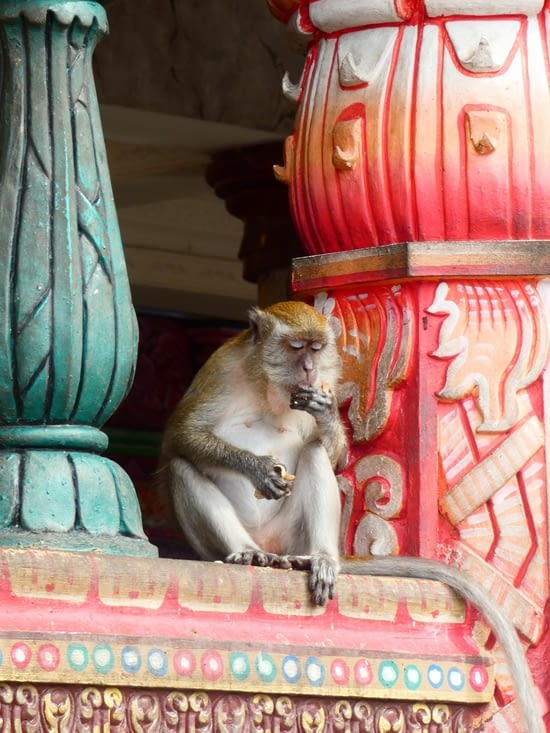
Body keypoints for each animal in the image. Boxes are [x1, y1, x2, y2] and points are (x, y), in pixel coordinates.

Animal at [160, 300, 348, 604]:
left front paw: (326, 411)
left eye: (316, 348)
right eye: (296, 346)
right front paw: (258, 469)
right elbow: (182, 435)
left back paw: (321, 558)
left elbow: (333, 458)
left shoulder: (326, 380)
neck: (265, 383)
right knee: (181, 466)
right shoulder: (221, 368)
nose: (309, 368)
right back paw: (249, 550)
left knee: (315, 451)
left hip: (290, 536)